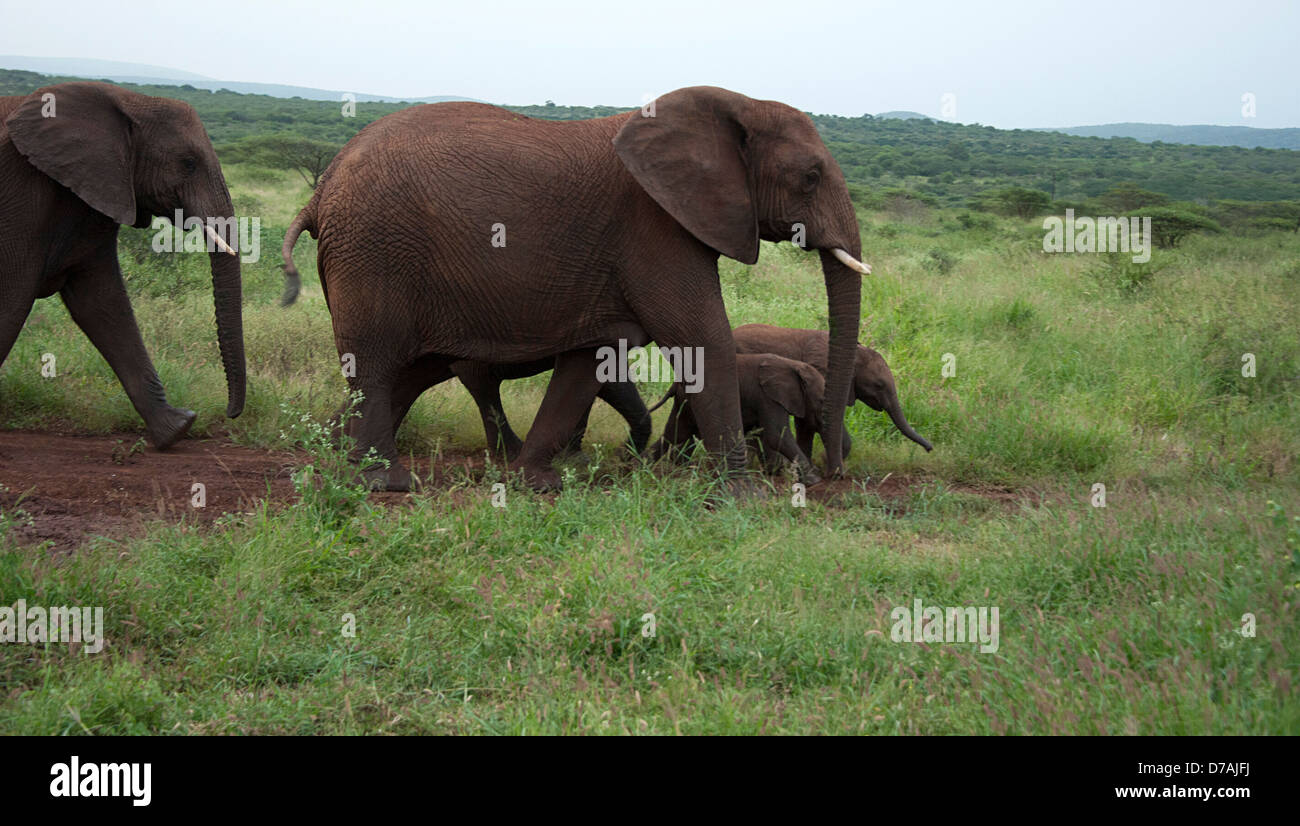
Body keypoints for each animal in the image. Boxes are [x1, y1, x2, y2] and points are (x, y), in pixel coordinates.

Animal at [0, 83, 245, 444]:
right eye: (188, 163)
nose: (230, 414)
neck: (129, 100)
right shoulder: (22, 194)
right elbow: (13, 299)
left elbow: (102, 303)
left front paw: (177, 428)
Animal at [644, 353, 837, 483]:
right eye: (821, 400)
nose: (831, 476)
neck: (793, 365)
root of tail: (676, 383)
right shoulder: (767, 397)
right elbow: (777, 435)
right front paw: (814, 480)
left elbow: (762, 434)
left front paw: (774, 472)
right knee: (680, 433)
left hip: (685, 402)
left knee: (675, 433)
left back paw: (648, 465)